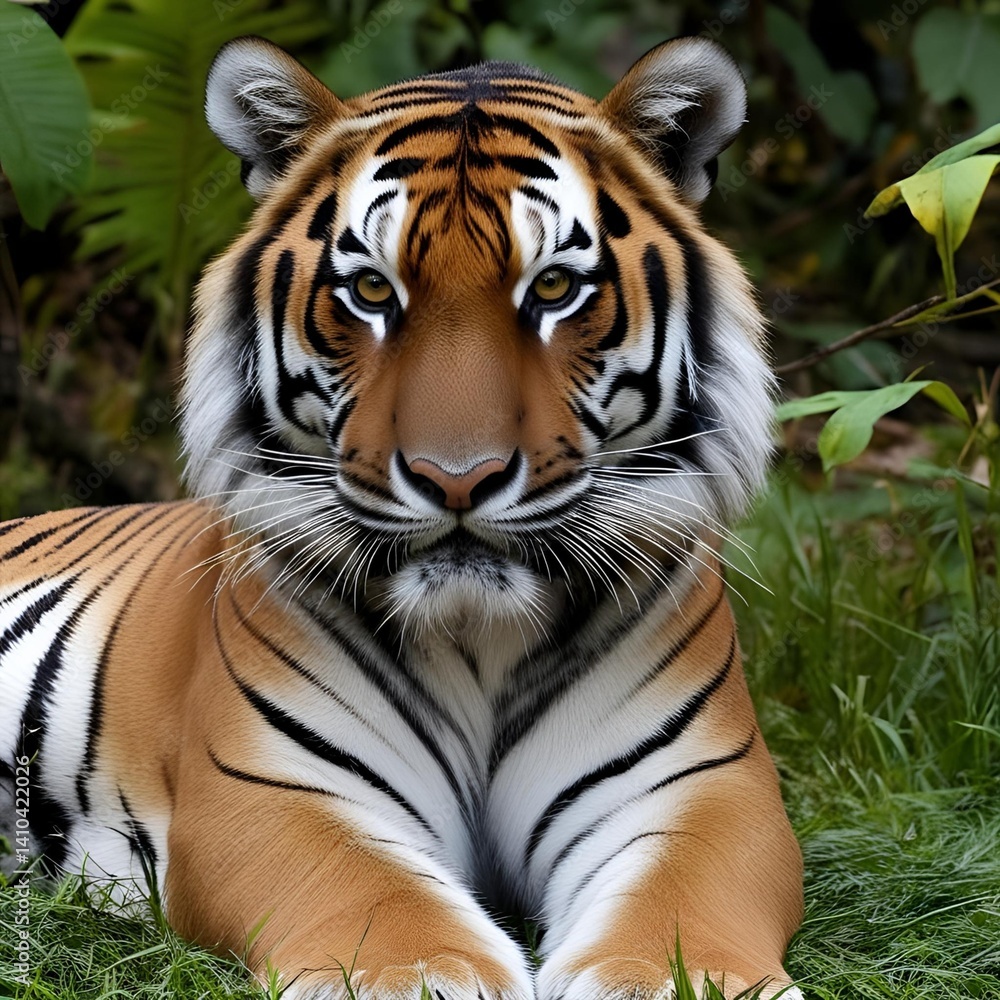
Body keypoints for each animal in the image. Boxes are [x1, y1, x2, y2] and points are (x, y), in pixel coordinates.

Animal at [0, 33, 804, 1000]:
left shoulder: (702, 788)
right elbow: (386, 910)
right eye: (373, 292)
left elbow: (673, 924)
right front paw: (424, 975)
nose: (456, 479)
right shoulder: (277, 787)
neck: (479, 639)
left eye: (555, 288)